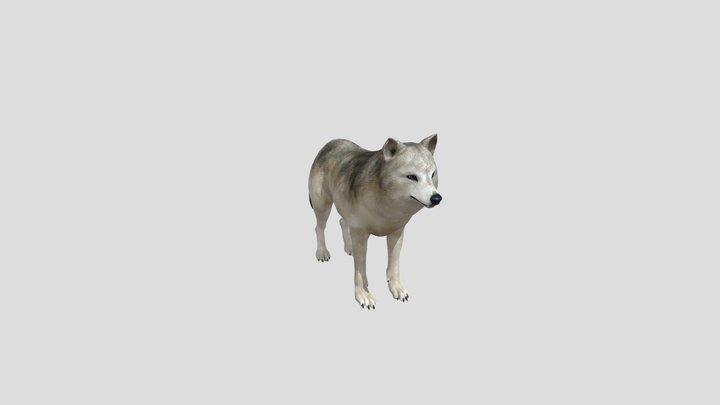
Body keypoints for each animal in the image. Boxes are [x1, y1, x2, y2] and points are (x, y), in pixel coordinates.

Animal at [308, 134, 442, 309]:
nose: (437, 198)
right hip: (322, 205)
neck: (388, 206)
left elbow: (394, 266)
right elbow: (360, 271)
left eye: (432, 175)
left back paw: (349, 247)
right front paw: (364, 296)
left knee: (342, 222)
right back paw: (322, 252)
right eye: (412, 177)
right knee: (319, 227)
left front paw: (397, 289)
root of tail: (331, 142)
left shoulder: (397, 233)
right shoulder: (360, 234)